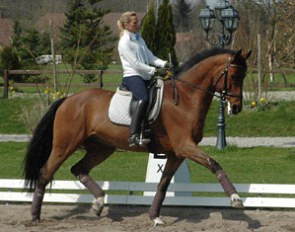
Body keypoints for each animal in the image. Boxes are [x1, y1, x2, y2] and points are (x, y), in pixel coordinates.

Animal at [24, 46, 253, 225]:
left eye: (244, 76)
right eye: (234, 76)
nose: (237, 108)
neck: (186, 98)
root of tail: (68, 99)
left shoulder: (176, 154)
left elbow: (163, 185)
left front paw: (155, 217)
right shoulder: (185, 146)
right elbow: (214, 163)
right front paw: (235, 198)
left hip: (101, 148)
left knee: (79, 169)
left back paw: (99, 203)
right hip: (65, 146)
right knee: (45, 173)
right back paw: (35, 216)